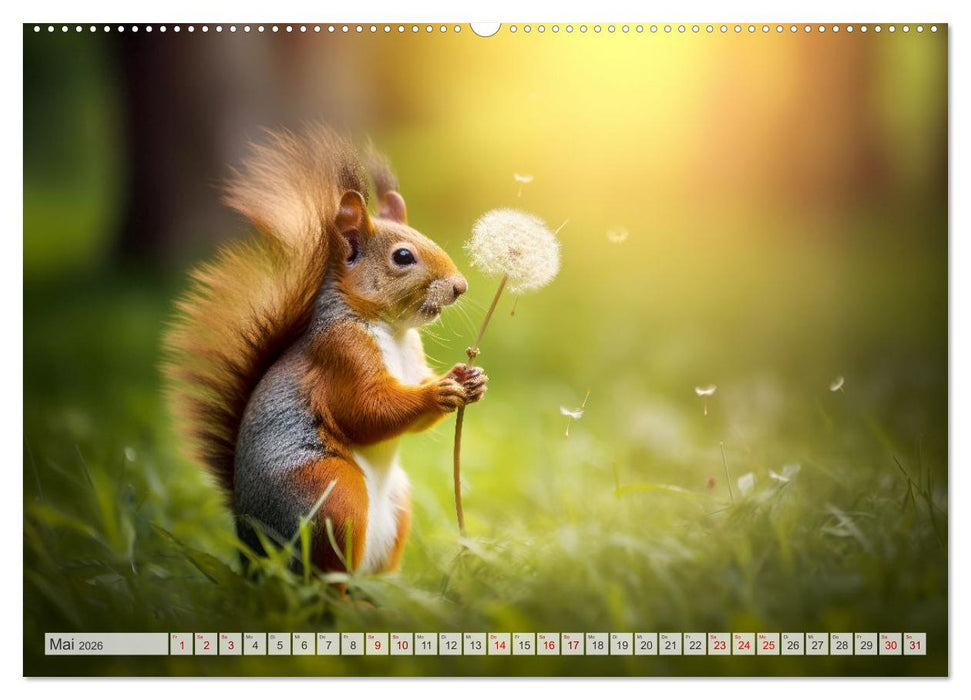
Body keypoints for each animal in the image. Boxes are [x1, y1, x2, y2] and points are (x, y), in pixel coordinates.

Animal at [164, 124, 487, 577]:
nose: (460, 286)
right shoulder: (341, 354)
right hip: (331, 496)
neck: (393, 331)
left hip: (396, 506)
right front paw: (438, 392)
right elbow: (367, 411)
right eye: (403, 256)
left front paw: (470, 379)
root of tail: (252, 550)